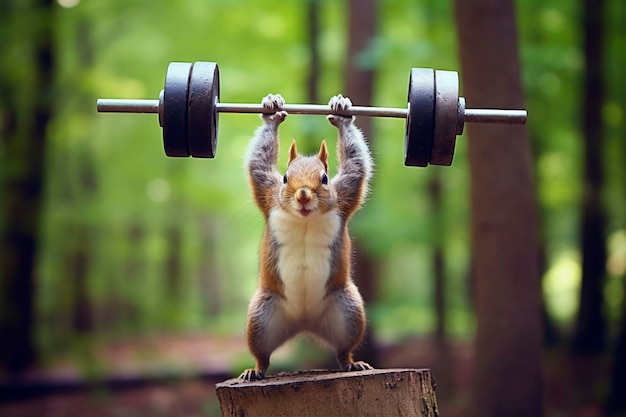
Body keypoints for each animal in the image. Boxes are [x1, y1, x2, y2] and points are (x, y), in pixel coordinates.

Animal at [240, 92, 372, 380]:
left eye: (324, 178)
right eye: (285, 177)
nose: (303, 195)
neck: (304, 219)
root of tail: (304, 322)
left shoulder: (345, 194)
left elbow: (356, 164)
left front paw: (342, 112)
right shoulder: (268, 192)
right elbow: (258, 163)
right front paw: (271, 110)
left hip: (348, 311)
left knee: (343, 350)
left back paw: (352, 363)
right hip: (261, 317)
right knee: (262, 356)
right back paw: (254, 370)